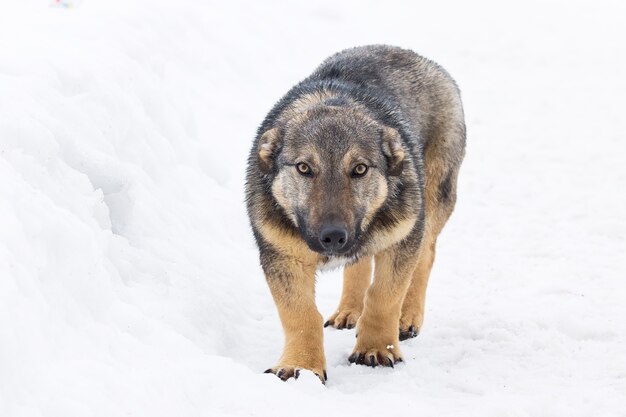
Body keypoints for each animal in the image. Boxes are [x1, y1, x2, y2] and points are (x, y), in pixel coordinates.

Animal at [244, 44, 464, 382]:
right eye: (304, 168)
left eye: (359, 169)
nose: (333, 236)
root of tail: (407, 52)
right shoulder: (281, 254)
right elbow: (300, 314)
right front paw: (301, 366)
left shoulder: (402, 236)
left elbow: (384, 296)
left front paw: (377, 349)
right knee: (359, 264)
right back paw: (348, 310)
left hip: (435, 195)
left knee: (425, 255)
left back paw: (407, 317)